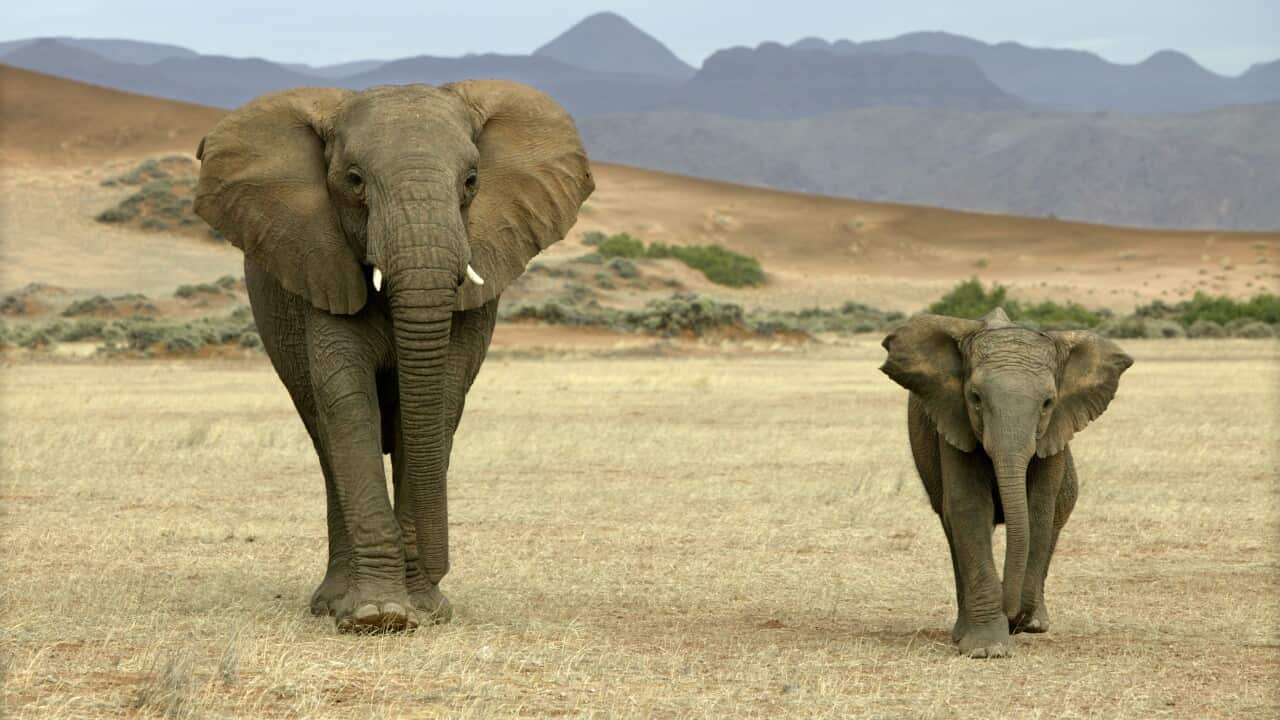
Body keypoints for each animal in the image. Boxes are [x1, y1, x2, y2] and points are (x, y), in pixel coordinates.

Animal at [193, 81, 594, 632]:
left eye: (472, 181)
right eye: (354, 180)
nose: (439, 570)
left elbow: (437, 403)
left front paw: (422, 609)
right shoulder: (321, 267)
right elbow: (347, 401)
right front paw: (376, 616)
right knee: (325, 443)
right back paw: (330, 604)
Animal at [880, 308, 1132, 658]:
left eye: (1047, 403)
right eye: (974, 398)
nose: (1013, 617)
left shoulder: (1055, 429)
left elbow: (1038, 509)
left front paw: (1019, 626)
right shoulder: (954, 419)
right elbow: (970, 507)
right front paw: (987, 649)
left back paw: (1036, 623)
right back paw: (965, 630)